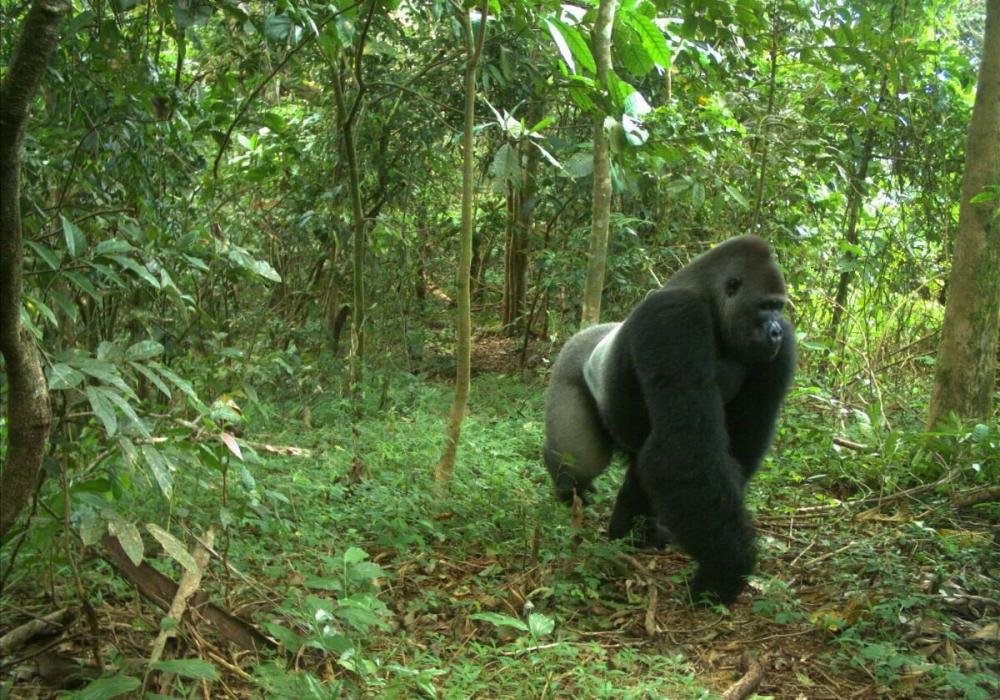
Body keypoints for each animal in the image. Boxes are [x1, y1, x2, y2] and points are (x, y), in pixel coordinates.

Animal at [544, 237, 792, 608]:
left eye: (779, 308)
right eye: (766, 306)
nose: (775, 330)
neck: (711, 302)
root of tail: (587, 331)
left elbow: (728, 449)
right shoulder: (675, 319)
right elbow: (685, 449)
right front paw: (723, 569)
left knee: (639, 463)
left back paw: (632, 529)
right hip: (568, 367)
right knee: (582, 459)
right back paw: (568, 488)